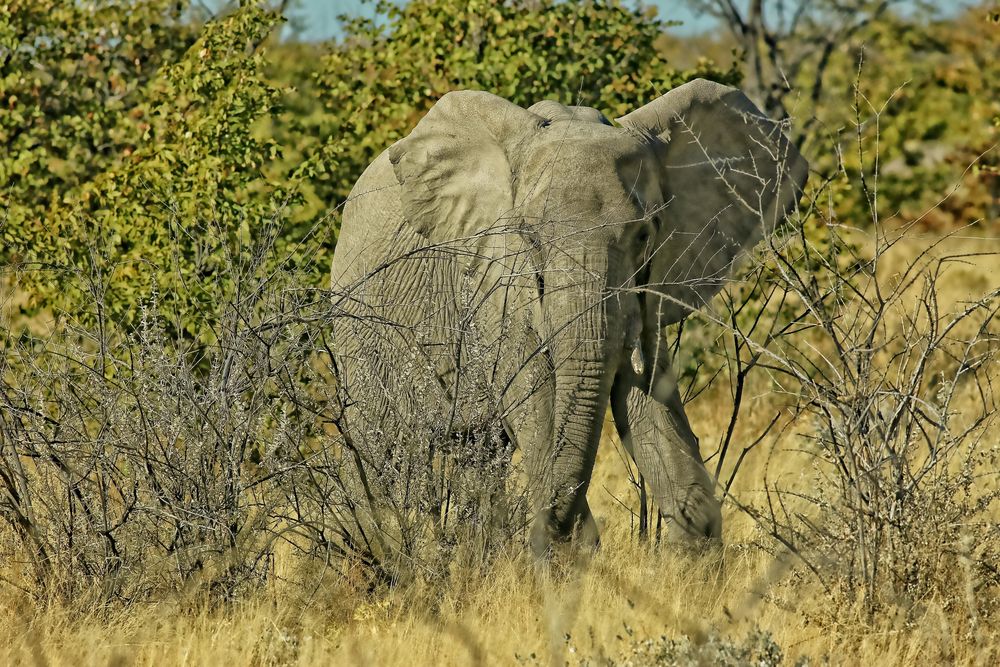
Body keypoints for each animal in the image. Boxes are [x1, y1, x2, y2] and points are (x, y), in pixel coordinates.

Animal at [328, 78, 804, 560]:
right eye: (530, 237)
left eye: (644, 234)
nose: (549, 527)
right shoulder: (495, 278)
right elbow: (534, 393)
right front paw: (571, 556)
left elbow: (645, 396)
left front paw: (693, 553)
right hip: (358, 325)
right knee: (380, 446)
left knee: (478, 452)